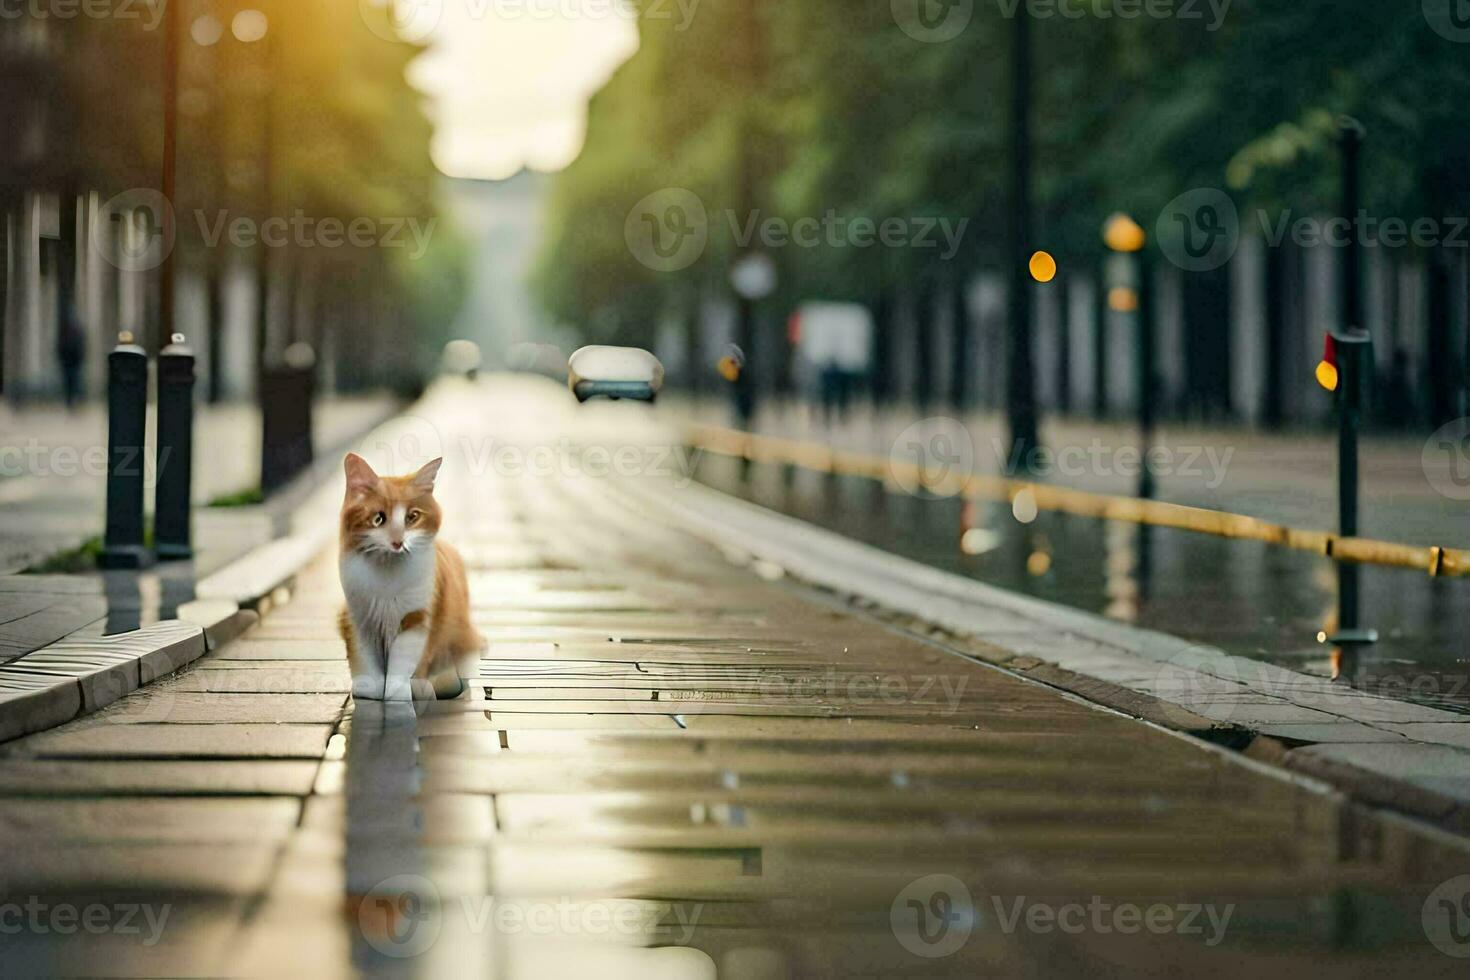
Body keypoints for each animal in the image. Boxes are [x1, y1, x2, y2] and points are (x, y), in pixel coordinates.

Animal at [336, 455, 479, 702]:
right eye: (378, 519)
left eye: (412, 517)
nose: (398, 542)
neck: (387, 573)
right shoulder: (359, 617)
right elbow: (366, 661)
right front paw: (369, 690)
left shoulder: (417, 616)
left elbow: (402, 663)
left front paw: (399, 692)